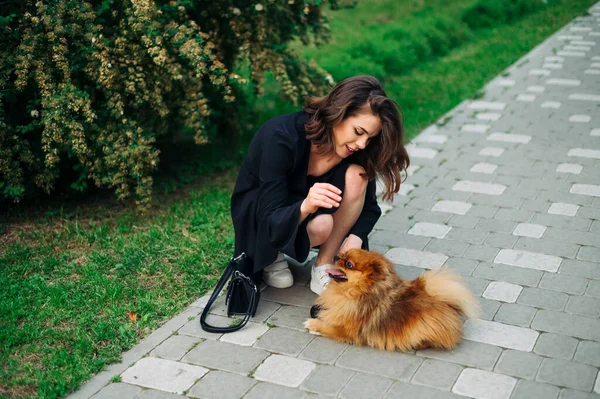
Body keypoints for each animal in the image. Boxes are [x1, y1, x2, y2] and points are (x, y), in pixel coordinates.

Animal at [302, 250, 480, 354]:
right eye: (342, 254)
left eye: (348, 264)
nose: (336, 256)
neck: (356, 292)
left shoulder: (349, 331)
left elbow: (328, 326)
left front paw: (313, 324)